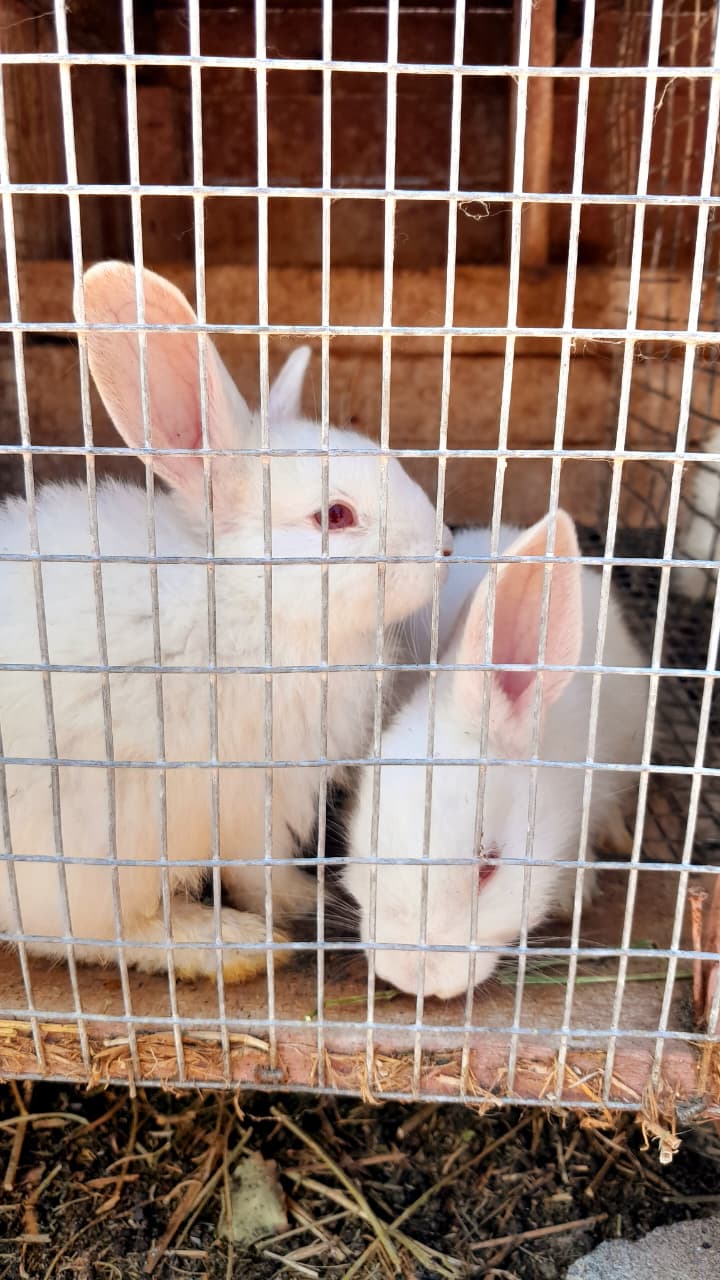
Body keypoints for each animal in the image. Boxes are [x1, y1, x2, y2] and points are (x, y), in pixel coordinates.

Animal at [0, 262, 451, 981]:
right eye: (336, 516)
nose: (445, 550)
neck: (250, 600)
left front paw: (309, 896)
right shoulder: (249, 796)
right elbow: (253, 871)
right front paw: (293, 910)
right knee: (78, 931)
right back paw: (231, 945)